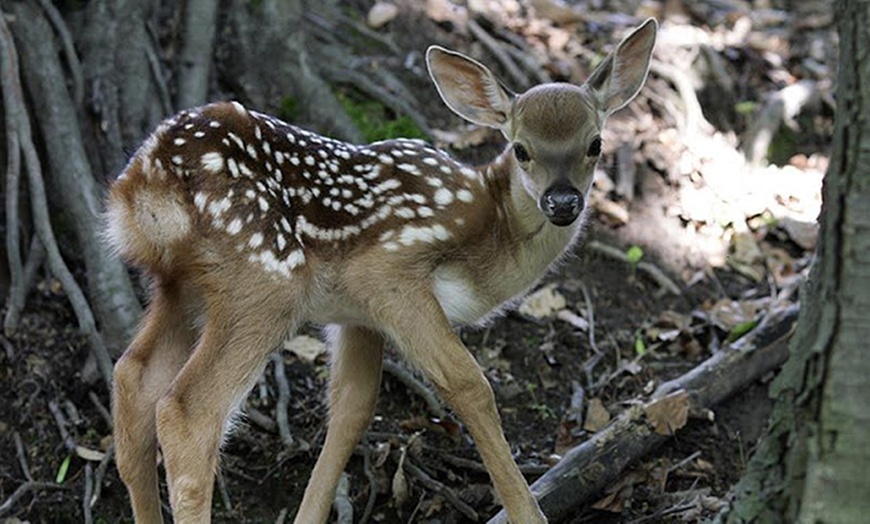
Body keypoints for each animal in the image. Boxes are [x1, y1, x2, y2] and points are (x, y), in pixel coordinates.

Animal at [105, 18, 656, 520]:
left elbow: (353, 408)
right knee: (187, 411)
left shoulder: (356, 317)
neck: (491, 236)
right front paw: (527, 511)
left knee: (132, 379)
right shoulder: (389, 273)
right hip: (263, 277)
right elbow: (469, 385)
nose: (562, 201)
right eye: (521, 149)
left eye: (595, 144)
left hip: (181, 285)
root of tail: (144, 181)